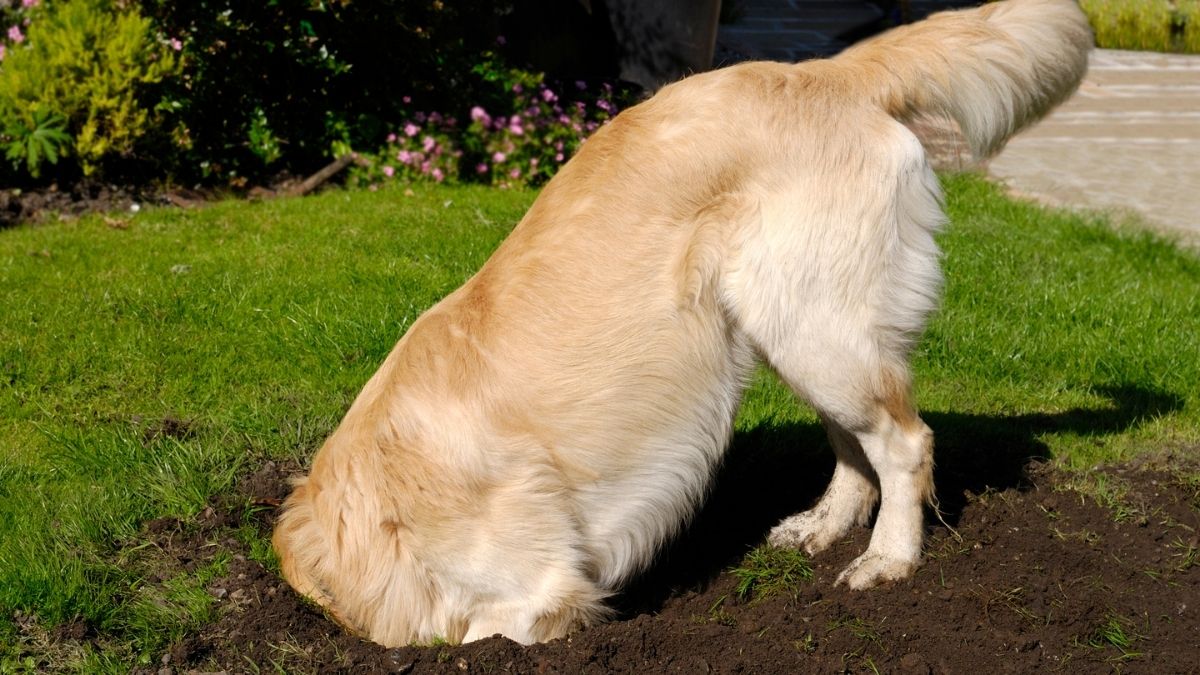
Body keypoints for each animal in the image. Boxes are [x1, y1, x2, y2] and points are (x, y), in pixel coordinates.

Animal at [276, 0, 1094, 643]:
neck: (375, 498)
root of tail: (825, 72)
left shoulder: (543, 588)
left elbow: (497, 627)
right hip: (798, 327)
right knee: (854, 445)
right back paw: (824, 526)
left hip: (814, 325)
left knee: (905, 443)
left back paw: (889, 558)